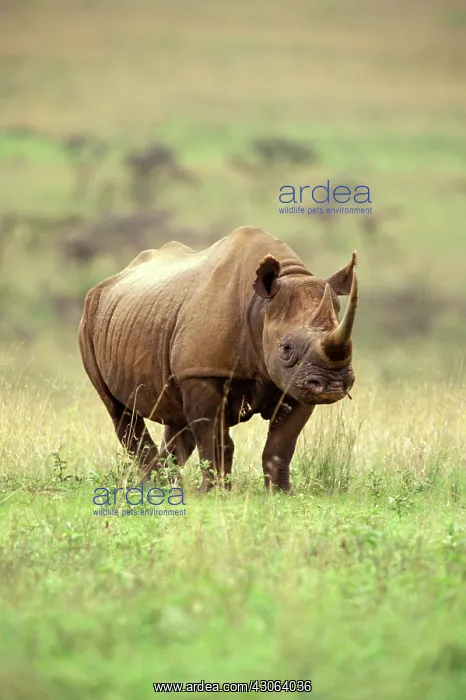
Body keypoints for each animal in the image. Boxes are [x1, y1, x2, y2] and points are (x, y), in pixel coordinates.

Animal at [79, 226, 358, 491]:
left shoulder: (296, 381)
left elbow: (281, 444)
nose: (332, 385)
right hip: (89, 318)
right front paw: (215, 493)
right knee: (119, 409)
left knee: (177, 416)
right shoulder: (201, 372)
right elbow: (215, 439)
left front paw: (280, 493)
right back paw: (153, 485)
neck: (260, 309)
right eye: (286, 348)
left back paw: (166, 484)